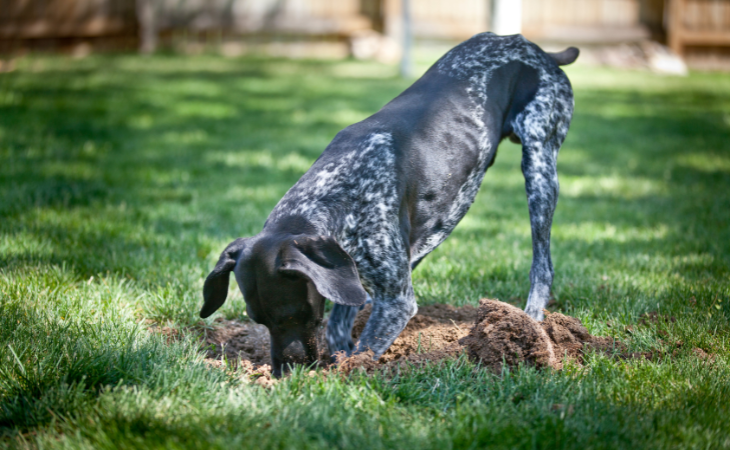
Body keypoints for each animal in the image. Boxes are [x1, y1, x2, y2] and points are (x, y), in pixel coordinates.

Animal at [199, 32, 576, 376]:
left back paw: (532, 322)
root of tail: (537, 49)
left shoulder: (396, 301)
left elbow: (363, 350)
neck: (333, 192)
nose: (285, 373)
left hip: (539, 166)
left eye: (295, 315)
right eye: (258, 320)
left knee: (543, 265)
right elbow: (339, 330)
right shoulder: (350, 273)